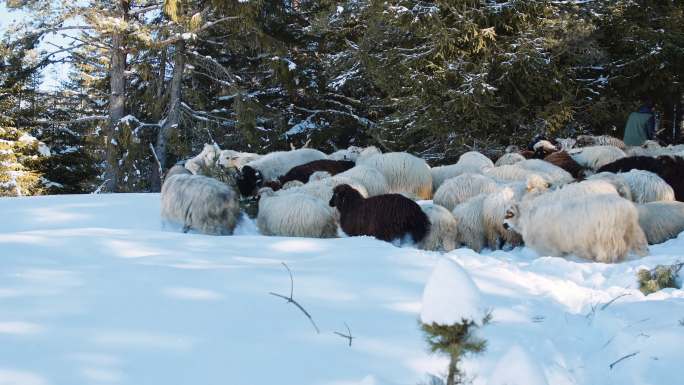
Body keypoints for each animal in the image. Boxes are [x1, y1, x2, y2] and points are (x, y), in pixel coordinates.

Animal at [504, 190, 648, 262]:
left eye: (510, 213)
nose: (504, 225)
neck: (527, 217)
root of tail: (628, 208)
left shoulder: (548, 245)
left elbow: (554, 254)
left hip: (607, 236)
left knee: (609, 251)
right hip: (630, 231)